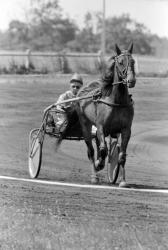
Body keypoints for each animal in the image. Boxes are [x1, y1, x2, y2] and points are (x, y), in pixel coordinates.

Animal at [77, 43, 136, 187]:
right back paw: (94, 174)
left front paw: (123, 181)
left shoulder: (126, 130)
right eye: (120, 62)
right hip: (85, 125)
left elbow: (121, 155)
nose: (131, 80)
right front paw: (99, 164)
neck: (117, 101)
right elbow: (103, 150)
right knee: (91, 150)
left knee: (99, 145)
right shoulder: (101, 127)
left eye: (133, 61)